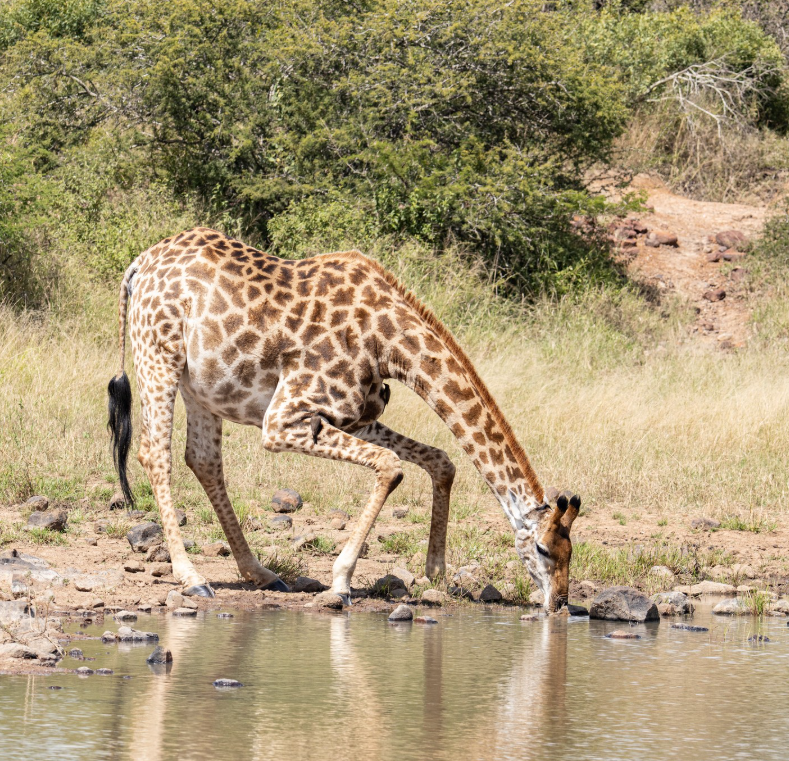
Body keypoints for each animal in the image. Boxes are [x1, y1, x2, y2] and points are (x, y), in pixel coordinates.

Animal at [106, 224, 580, 604]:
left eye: (571, 551)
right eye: (543, 549)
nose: (557, 602)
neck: (389, 344)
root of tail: (138, 264)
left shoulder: (353, 416)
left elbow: (440, 461)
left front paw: (436, 573)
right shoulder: (282, 421)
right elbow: (391, 467)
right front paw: (340, 582)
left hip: (201, 386)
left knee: (203, 459)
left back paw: (261, 573)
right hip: (158, 356)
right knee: (155, 453)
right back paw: (192, 577)